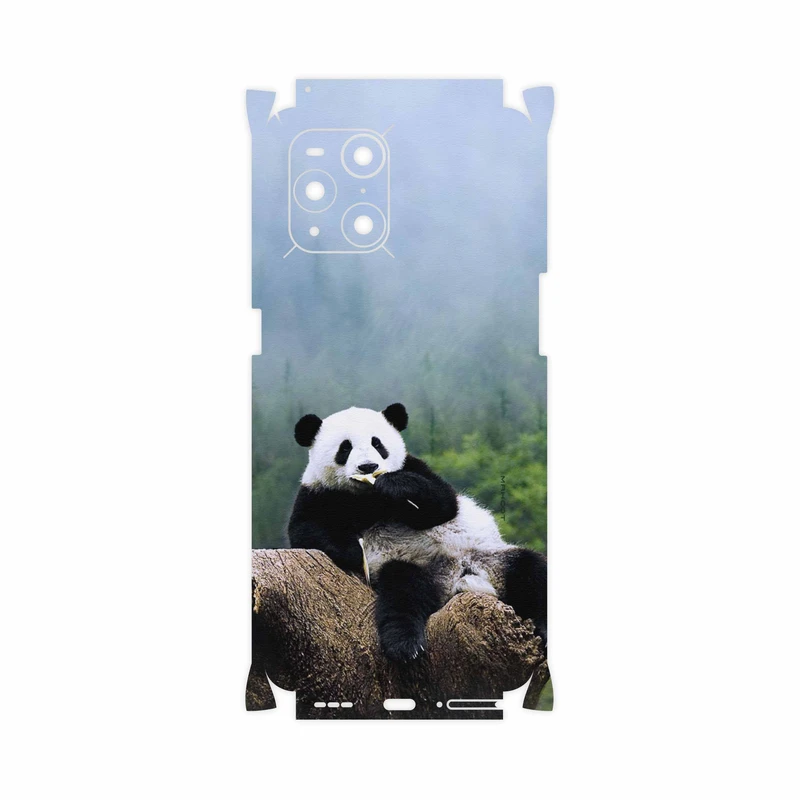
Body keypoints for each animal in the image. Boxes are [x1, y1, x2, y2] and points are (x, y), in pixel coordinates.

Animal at [288, 403, 547, 661]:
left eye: (377, 444)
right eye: (345, 448)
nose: (368, 467)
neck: (367, 497)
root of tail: (457, 578)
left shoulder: (414, 467)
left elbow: (443, 503)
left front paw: (394, 485)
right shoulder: (319, 493)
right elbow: (305, 530)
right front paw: (354, 551)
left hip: (490, 557)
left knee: (531, 570)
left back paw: (543, 629)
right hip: (413, 566)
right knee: (403, 592)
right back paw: (405, 645)